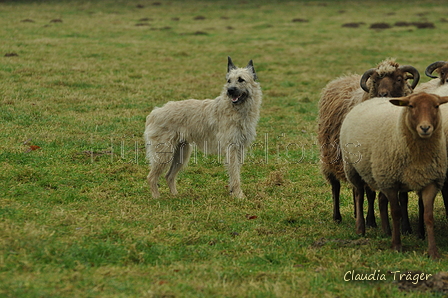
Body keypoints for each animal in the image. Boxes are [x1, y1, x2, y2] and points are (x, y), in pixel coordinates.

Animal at [318, 59, 420, 229]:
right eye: (376, 81)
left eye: (399, 79)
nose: (383, 94)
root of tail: (339, 79)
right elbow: (370, 194)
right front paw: (371, 221)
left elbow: (403, 197)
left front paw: (406, 227)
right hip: (331, 155)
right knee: (336, 187)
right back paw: (337, 216)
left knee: (355, 188)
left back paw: (355, 213)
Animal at [340, 92, 448, 258]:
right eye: (411, 106)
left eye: (436, 106)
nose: (425, 128)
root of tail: (372, 99)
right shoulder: (390, 182)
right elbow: (396, 213)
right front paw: (397, 246)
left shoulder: (431, 182)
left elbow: (428, 216)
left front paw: (433, 252)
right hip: (353, 168)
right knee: (358, 195)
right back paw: (360, 229)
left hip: (378, 174)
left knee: (380, 199)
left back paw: (386, 231)